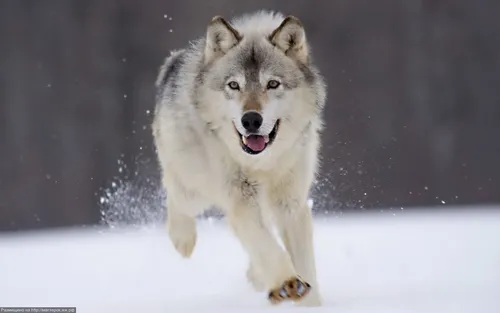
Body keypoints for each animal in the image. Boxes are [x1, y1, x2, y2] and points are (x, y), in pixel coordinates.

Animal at [150, 9, 326, 304]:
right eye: (234, 85)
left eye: (272, 84)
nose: (251, 120)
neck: (261, 163)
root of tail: (173, 62)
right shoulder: (240, 199)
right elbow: (268, 246)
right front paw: (287, 282)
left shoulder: (291, 203)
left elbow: (303, 263)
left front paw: (309, 300)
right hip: (194, 188)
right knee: (175, 194)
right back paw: (183, 240)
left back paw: (257, 276)